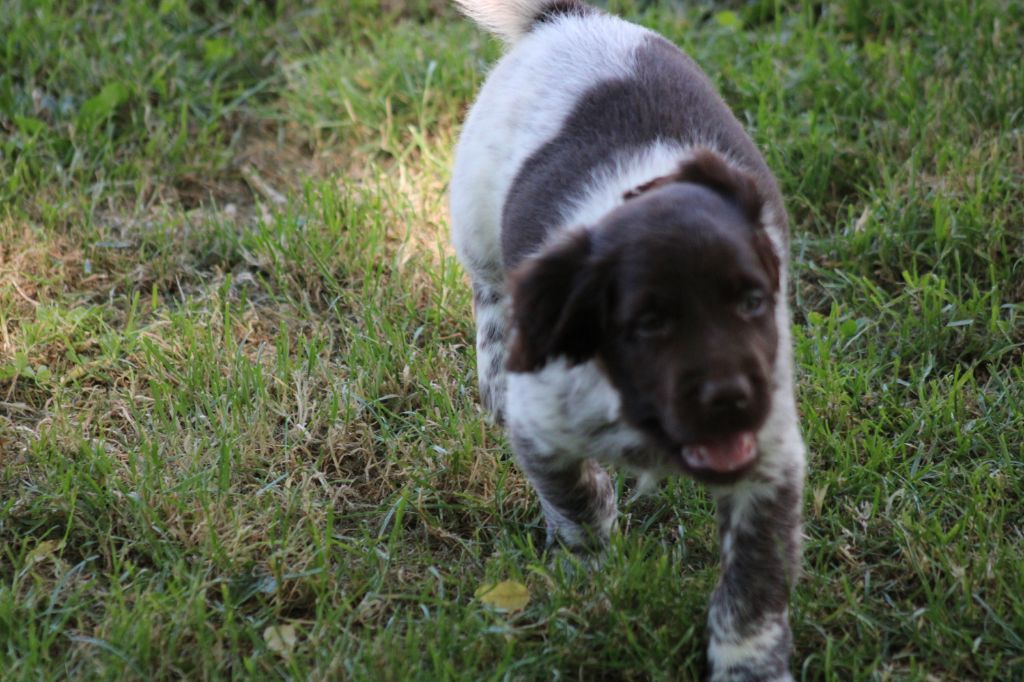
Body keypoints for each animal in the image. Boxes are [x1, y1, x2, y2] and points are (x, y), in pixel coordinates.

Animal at [450, 2, 806, 675]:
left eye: (753, 303)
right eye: (649, 325)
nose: (731, 399)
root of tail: (567, 18)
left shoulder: (770, 459)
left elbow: (754, 581)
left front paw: (748, 664)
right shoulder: (542, 426)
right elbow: (577, 501)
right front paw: (589, 570)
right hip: (475, 216)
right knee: (490, 298)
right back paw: (494, 380)